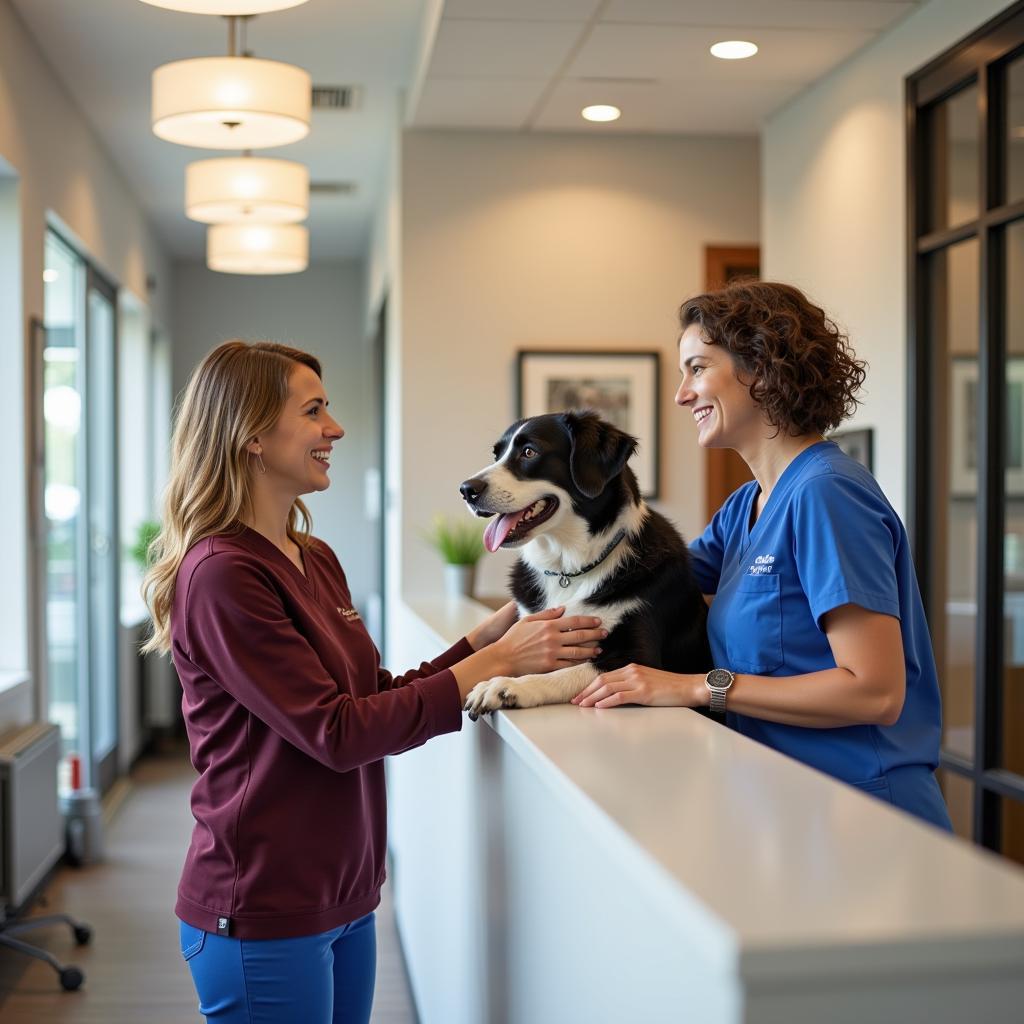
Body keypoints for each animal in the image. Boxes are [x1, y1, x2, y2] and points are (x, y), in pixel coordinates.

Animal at [458, 409, 708, 720]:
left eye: (529, 452)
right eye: (497, 455)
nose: (466, 490)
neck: (570, 567)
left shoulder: (638, 658)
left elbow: (568, 673)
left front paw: (507, 687)